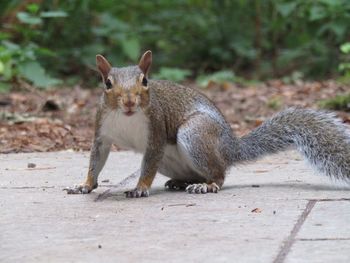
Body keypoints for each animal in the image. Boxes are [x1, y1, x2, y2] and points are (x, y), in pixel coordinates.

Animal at [64, 50, 348, 198]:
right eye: (107, 84)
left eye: (145, 81)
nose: (130, 102)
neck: (127, 118)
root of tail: (230, 148)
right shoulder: (102, 132)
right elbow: (96, 160)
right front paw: (85, 185)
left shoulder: (155, 130)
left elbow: (147, 166)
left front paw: (140, 188)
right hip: (173, 159)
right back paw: (182, 182)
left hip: (195, 134)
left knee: (219, 174)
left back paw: (207, 185)